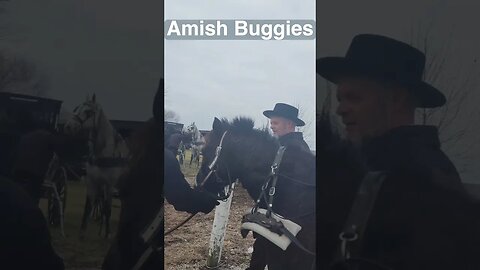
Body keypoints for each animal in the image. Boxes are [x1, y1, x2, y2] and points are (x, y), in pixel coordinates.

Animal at [65, 94, 130, 238]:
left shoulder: (109, 185)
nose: (68, 126)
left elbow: (108, 208)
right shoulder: (92, 182)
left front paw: (108, 233)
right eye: (76, 108)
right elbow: (89, 206)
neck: (104, 154)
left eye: (88, 112)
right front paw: (83, 231)